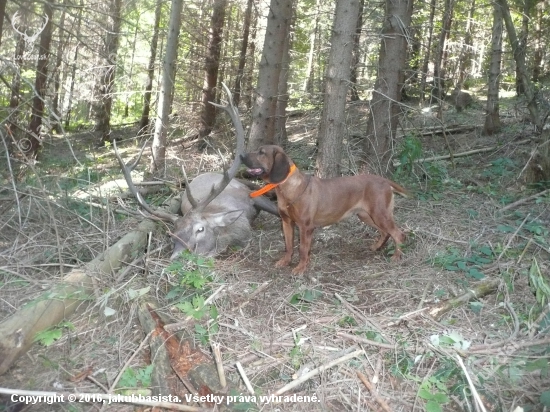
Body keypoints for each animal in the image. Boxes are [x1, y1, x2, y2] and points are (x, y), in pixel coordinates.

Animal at [243, 145, 410, 274]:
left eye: (261, 152)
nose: (241, 155)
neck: (289, 187)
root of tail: (384, 180)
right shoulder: (286, 222)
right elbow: (289, 246)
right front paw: (285, 261)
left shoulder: (305, 227)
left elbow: (302, 249)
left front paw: (301, 268)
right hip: (366, 215)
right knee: (385, 232)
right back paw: (376, 247)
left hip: (379, 214)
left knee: (398, 234)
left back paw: (397, 256)